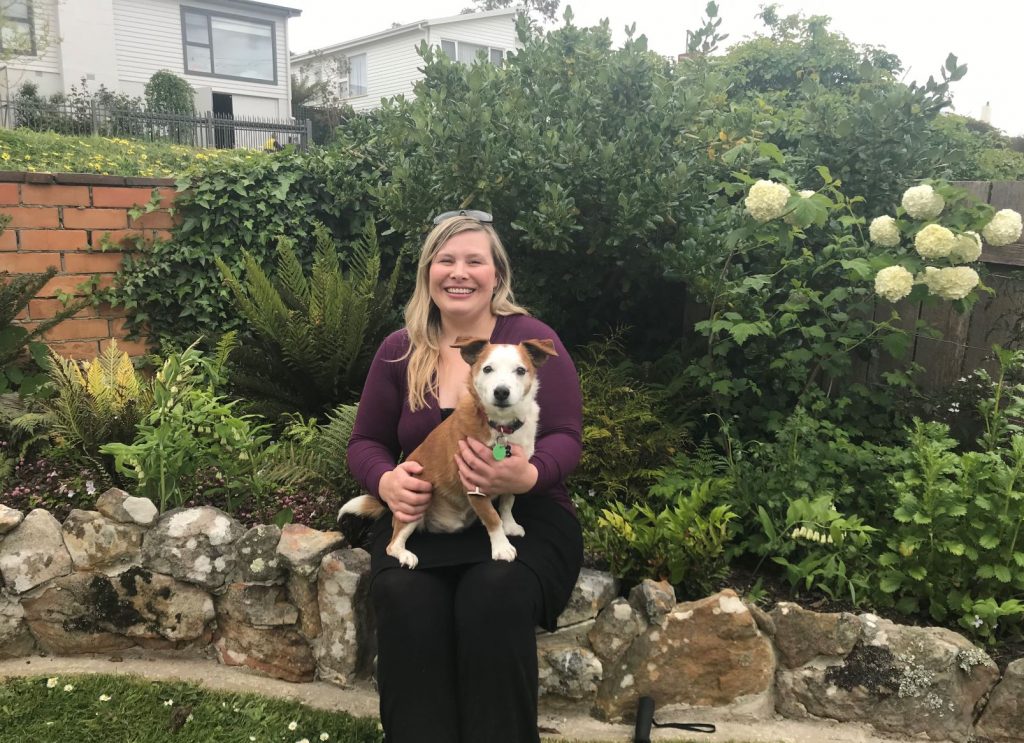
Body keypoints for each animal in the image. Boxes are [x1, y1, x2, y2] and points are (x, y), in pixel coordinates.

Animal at [339, 337, 557, 569]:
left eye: (520, 370)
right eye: (487, 369)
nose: (501, 391)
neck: (501, 427)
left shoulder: (513, 476)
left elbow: (507, 504)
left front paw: (510, 526)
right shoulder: (474, 485)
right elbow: (492, 517)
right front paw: (501, 547)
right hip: (414, 506)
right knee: (392, 544)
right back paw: (405, 555)